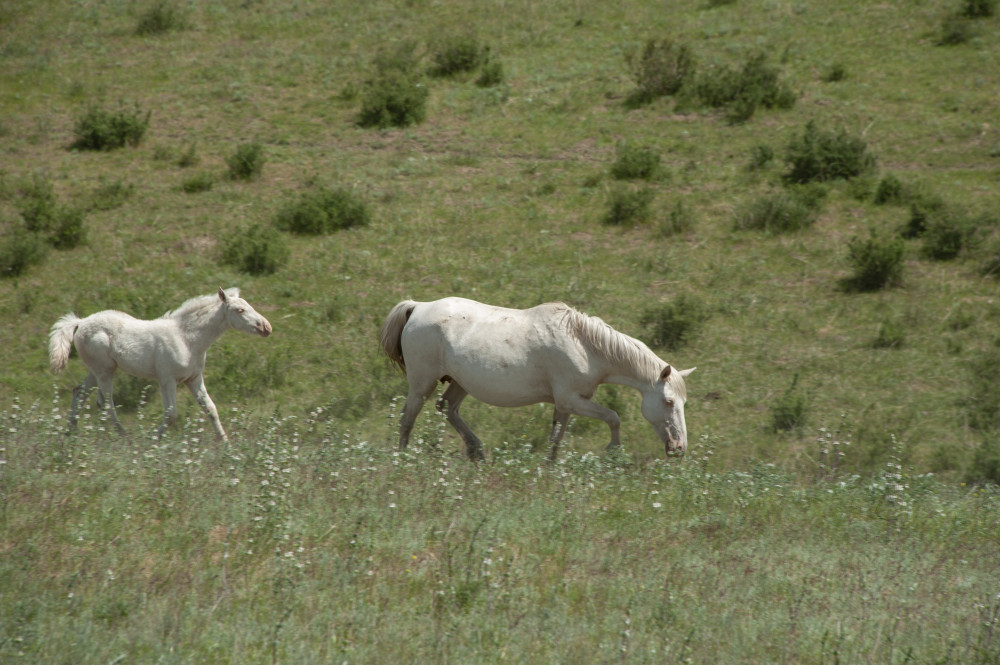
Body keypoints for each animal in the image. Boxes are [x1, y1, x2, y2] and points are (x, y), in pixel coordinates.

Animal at [48, 286, 272, 440]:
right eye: (240, 310)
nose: (266, 327)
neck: (187, 338)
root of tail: (80, 322)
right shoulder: (167, 379)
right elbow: (171, 414)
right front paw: (153, 440)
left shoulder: (194, 378)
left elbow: (210, 408)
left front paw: (226, 444)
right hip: (104, 371)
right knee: (106, 404)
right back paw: (124, 437)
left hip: (96, 371)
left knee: (79, 392)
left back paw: (71, 433)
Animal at [376, 296, 696, 460]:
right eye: (669, 402)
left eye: (683, 403)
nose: (679, 448)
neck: (583, 345)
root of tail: (417, 306)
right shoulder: (572, 400)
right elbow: (613, 417)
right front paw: (613, 452)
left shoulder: (565, 405)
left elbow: (556, 438)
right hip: (422, 384)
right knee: (408, 418)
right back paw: (403, 459)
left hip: (460, 383)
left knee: (447, 408)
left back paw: (476, 450)